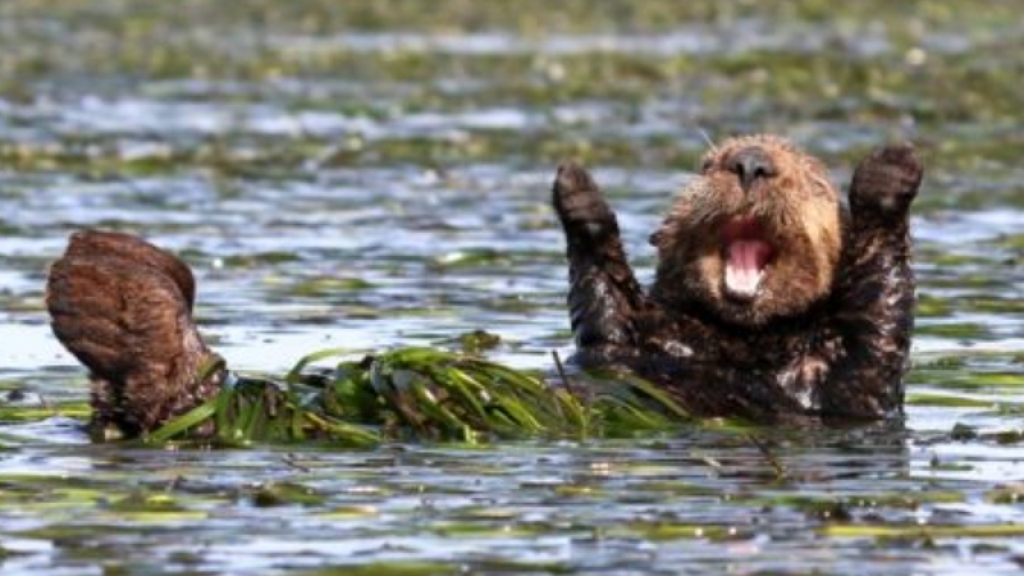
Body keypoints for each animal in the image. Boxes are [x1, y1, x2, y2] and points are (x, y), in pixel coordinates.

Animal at [557, 136, 925, 420]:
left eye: (814, 181)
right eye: (707, 165)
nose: (750, 163)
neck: (739, 339)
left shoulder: (849, 378)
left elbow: (881, 315)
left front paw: (892, 165)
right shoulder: (623, 337)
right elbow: (606, 306)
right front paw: (578, 189)